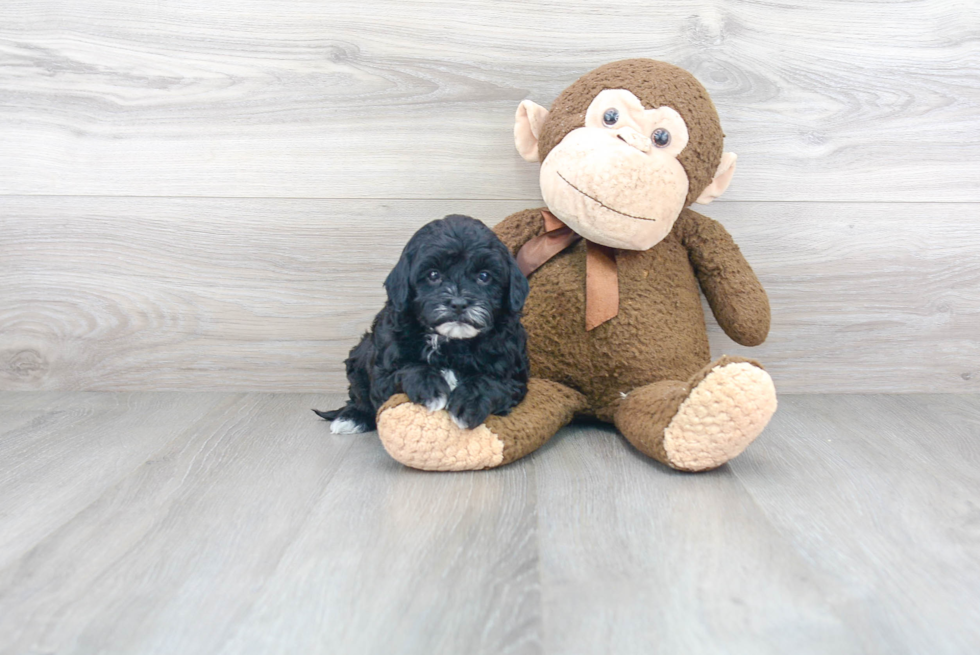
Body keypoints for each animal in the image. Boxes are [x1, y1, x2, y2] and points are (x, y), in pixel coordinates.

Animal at [314, 215, 528, 434]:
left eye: (484, 276)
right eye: (433, 275)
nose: (459, 303)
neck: (451, 342)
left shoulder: (513, 376)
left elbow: (490, 383)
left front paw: (469, 404)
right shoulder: (383, 372)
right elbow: (407, 369)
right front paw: (431, 389)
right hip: (360, 354)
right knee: (360, 395)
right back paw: (352, 417)